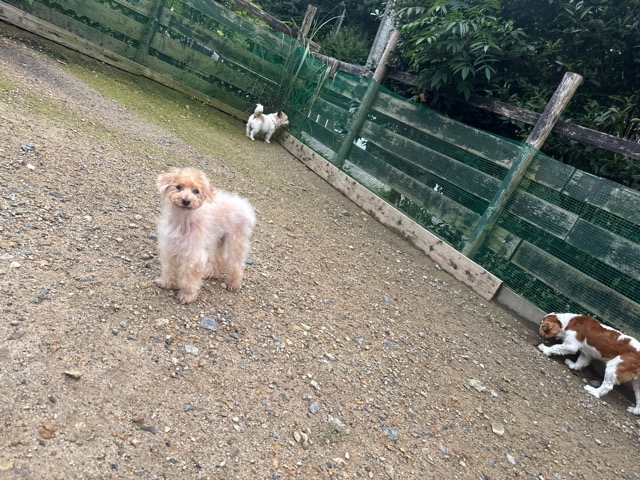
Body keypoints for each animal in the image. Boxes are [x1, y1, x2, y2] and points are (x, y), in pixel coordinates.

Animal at [155, 167, 256, 304]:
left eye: (196, 191)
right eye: (179, 187)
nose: (186, 201)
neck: (183, 219)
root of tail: (244, 204)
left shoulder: (194, 256)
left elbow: (189, 279)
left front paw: (187, 295)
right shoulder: (170, 247)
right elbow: (169, 268)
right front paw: (166, 283)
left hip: (237, 241)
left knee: (237, 264)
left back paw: (233, 283)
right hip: (220, 238)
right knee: (220, 257)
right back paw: (211, 272)